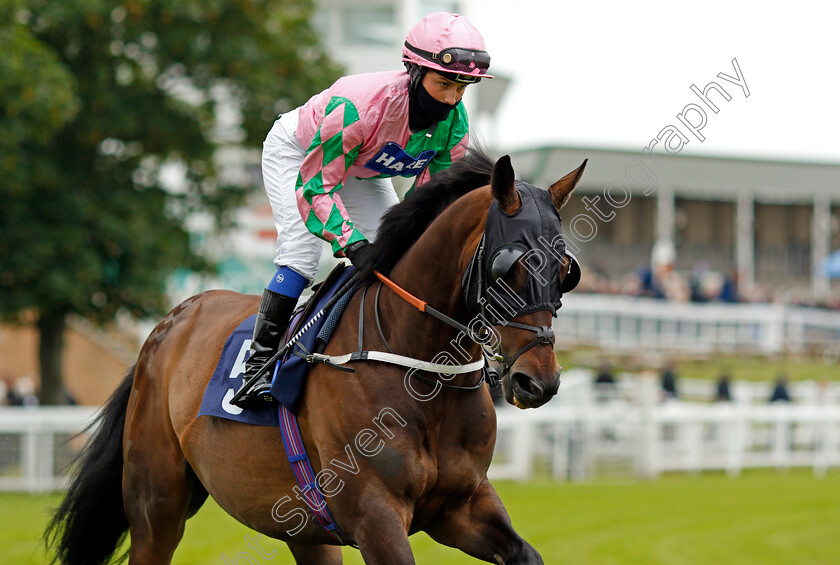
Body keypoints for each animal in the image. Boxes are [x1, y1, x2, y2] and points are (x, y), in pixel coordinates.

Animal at [46, 150, 584, 564]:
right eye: (510, 266)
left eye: (565, 269)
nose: (540, 381)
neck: (421, 372)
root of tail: (170, 322)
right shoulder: (375, 514)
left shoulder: (462, 506)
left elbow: (525, 553)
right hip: (156, 504)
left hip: (302, 526)